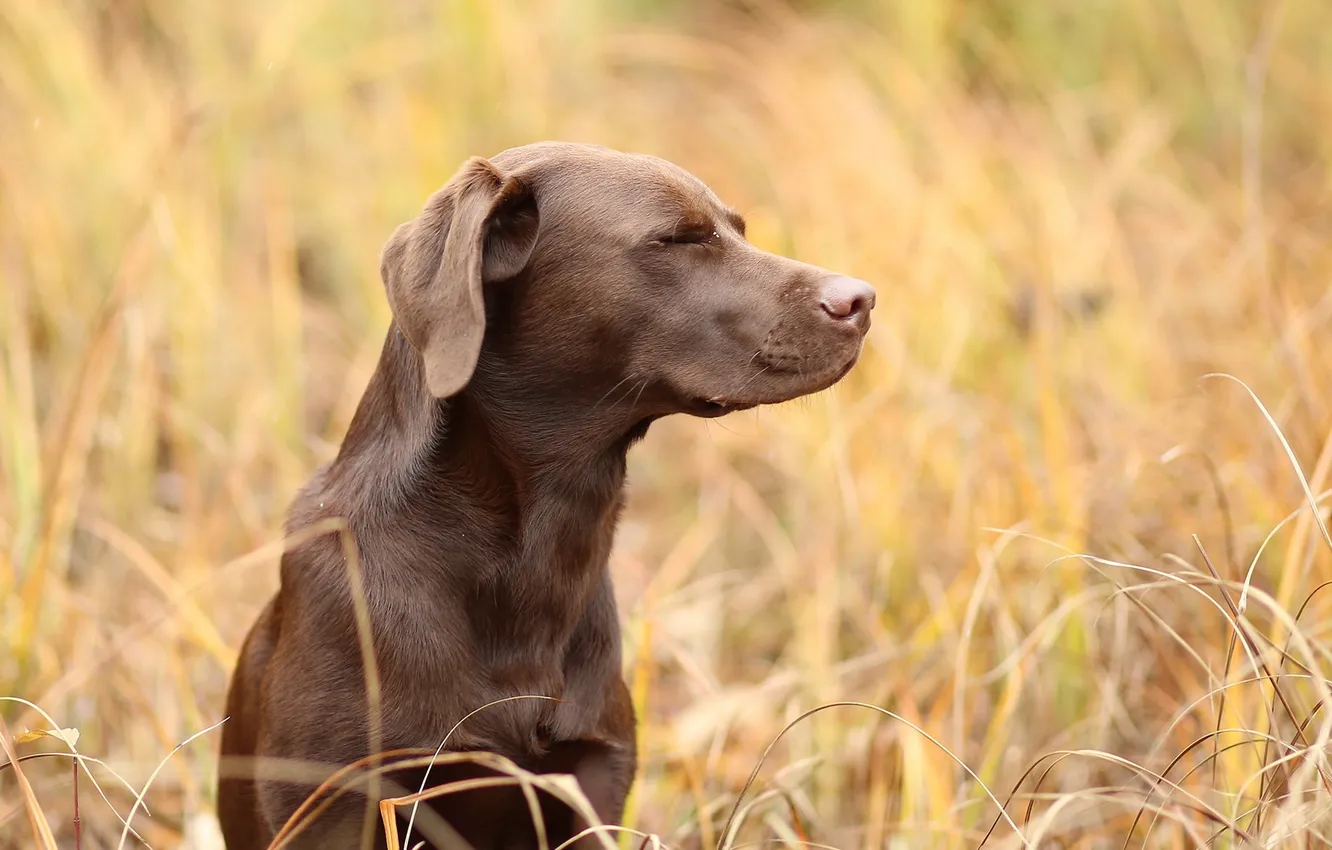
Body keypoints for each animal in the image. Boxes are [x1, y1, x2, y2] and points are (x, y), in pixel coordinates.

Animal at [217, 143, 873, 847]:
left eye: (739, 230)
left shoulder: (592, 782)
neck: (531, 558)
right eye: (677, 238)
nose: (863, 299)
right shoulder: (329, 801)